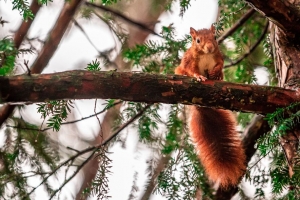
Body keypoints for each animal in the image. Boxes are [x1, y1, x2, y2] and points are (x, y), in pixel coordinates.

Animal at [173, 25, 246, 188]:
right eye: (198, 40)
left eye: (214, 37)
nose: (210, 47)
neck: (206, 55)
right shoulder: (189, 61)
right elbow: (191, 71)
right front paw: (199, 76)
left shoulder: (218, 56)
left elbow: (220, 64)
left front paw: (215, 72)